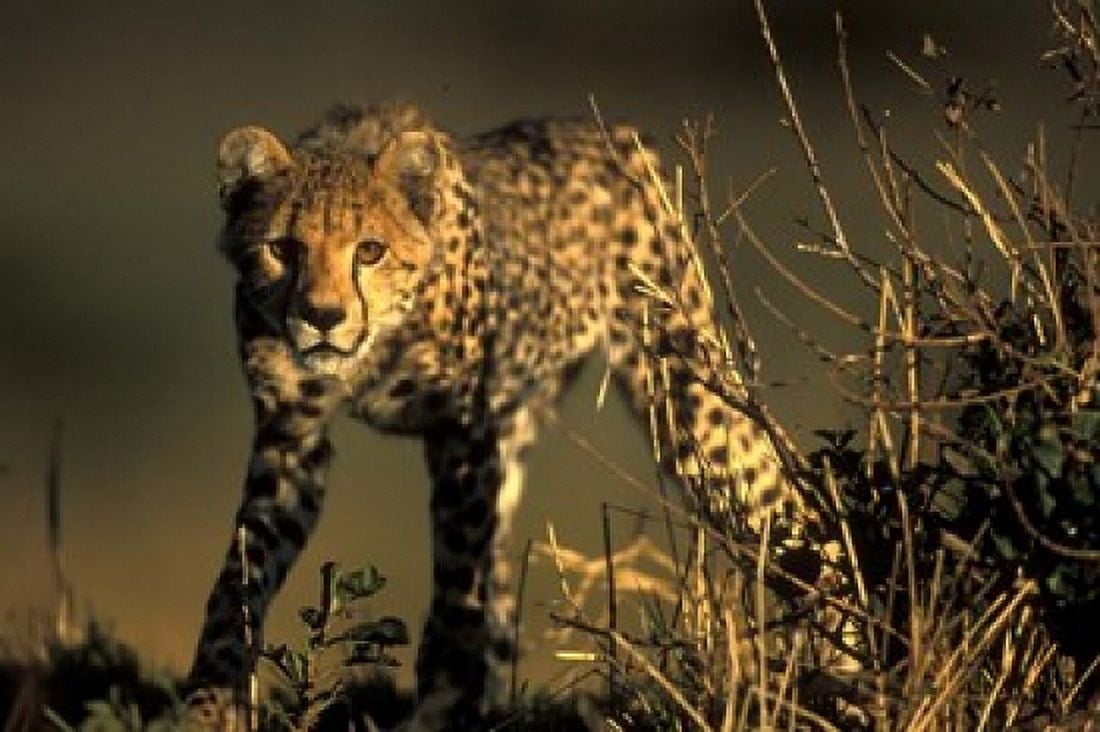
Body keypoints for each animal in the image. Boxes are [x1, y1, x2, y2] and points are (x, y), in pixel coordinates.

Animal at [186, 102, 819, 730]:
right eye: (283, 249)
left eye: (370, 251)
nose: (322, 316)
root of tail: (603, 127)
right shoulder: (291, 436)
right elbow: (238, 578)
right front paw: (211, 703)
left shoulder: (464, 436)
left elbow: (457, 586)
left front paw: (440, 706)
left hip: (689, 401)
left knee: (785, 507)